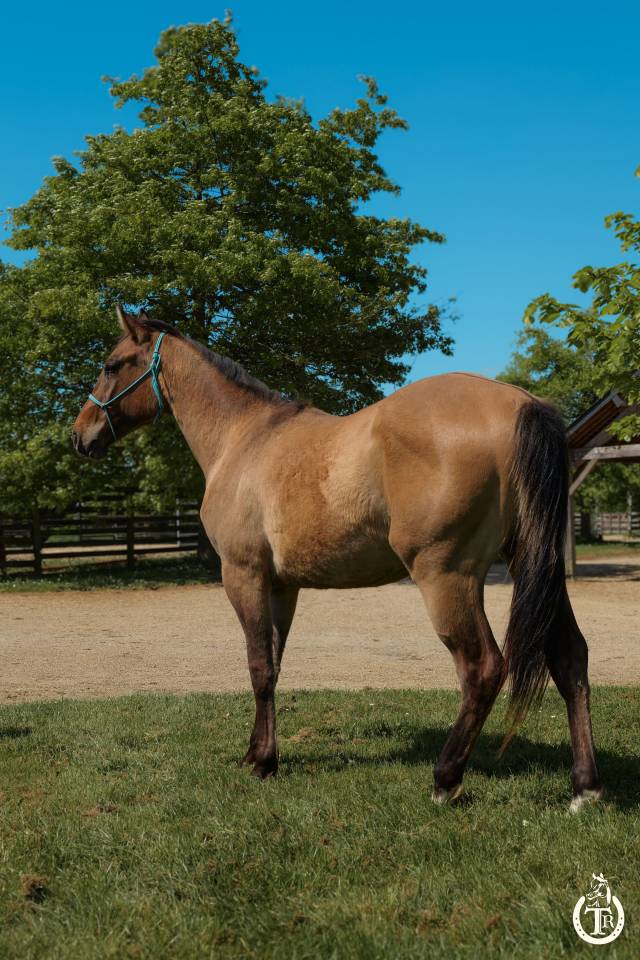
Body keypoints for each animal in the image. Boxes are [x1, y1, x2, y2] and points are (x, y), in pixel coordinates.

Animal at [72, 307, 602, 810]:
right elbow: (272, 666)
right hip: (532, 563)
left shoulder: (243, 575)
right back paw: (585, 788)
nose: (80, 435)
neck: (244, 439)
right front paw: (261, 753)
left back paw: (445, 780)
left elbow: (257, 666)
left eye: (111, 365)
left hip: (446, 576)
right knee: (569, 657)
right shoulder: (282, 586)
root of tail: (521, 403)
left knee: (482, 668)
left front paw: (261, 762)